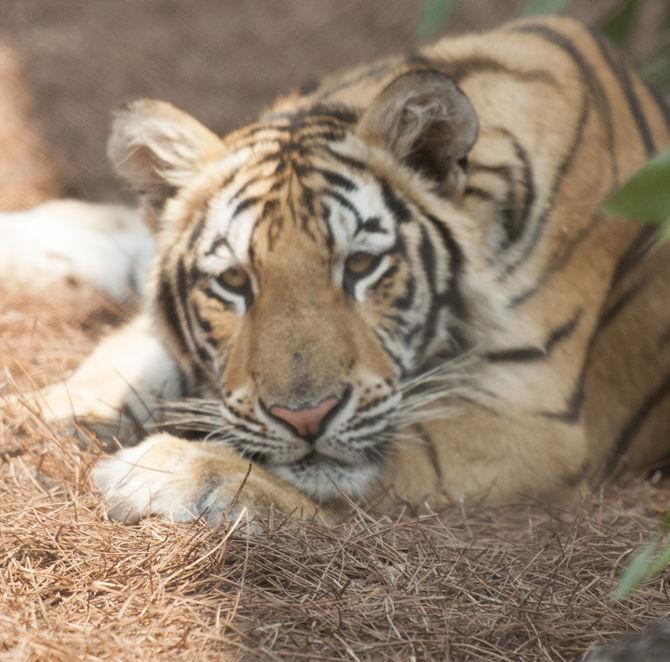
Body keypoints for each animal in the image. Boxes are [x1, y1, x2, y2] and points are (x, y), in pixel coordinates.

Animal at [1, 13, 670, 528]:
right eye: (235, 281)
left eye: (362, 265)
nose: (305, 416)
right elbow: (130, 354)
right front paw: (53, 415)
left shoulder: (540, 419)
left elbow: (364, 464)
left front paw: (167, 467)